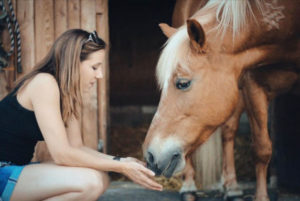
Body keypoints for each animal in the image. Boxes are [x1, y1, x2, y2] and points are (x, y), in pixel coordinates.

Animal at [143, 0, 300, 201]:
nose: (150, 156)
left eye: (183, 83)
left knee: (228, 131)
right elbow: (262, 149)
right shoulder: (253, 86)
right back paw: (189, 186)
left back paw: (231, 187)